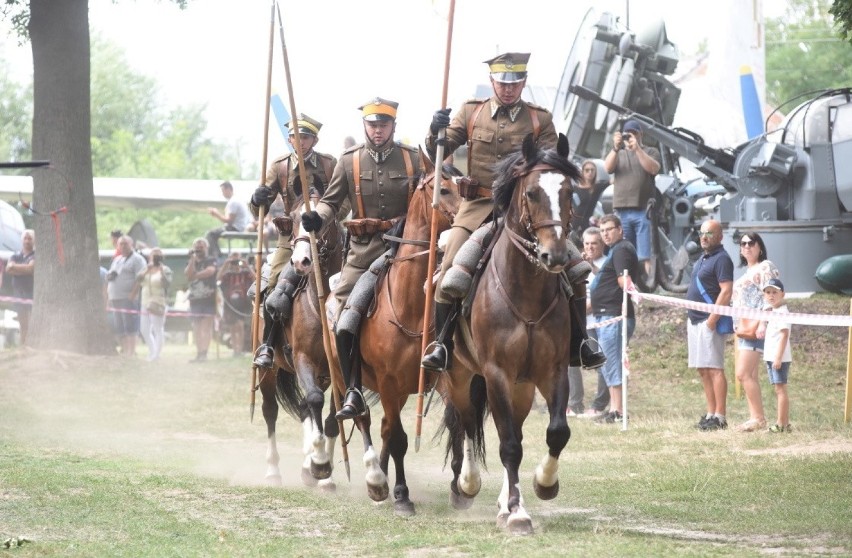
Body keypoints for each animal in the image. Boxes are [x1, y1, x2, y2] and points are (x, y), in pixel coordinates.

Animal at [256, 191, 342, 490]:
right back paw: (272, 471)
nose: (301, 261)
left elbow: (332, 418)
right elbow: (315, 400)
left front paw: (324, 475)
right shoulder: (303, 359)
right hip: (270, 370)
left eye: (323, 221)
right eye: (292, 219)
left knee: (306, 409)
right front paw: (319, 464)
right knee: (270, 411)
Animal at [292, 152, 462, 516]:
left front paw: (462, 486)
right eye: (443, 189)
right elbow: (397, 437)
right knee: (361, 419)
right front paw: (400, 494)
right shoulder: (387, 382)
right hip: (342, 376)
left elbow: (455, 421)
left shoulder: (440, 379)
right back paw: (371, 478)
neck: (411, 306)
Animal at [440, 133, 580, 536]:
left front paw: (543, 485)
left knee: (509, 428)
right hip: (460, 375)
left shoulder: (552, 371)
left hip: (521, 387)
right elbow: (507, 446)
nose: (555, 255)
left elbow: (555, 432)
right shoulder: (496, 374)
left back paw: (505, 501)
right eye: (532, 192)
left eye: (568, 192)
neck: (526, 291)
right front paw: (518, 513)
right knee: (466, 422)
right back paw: (469, 484)